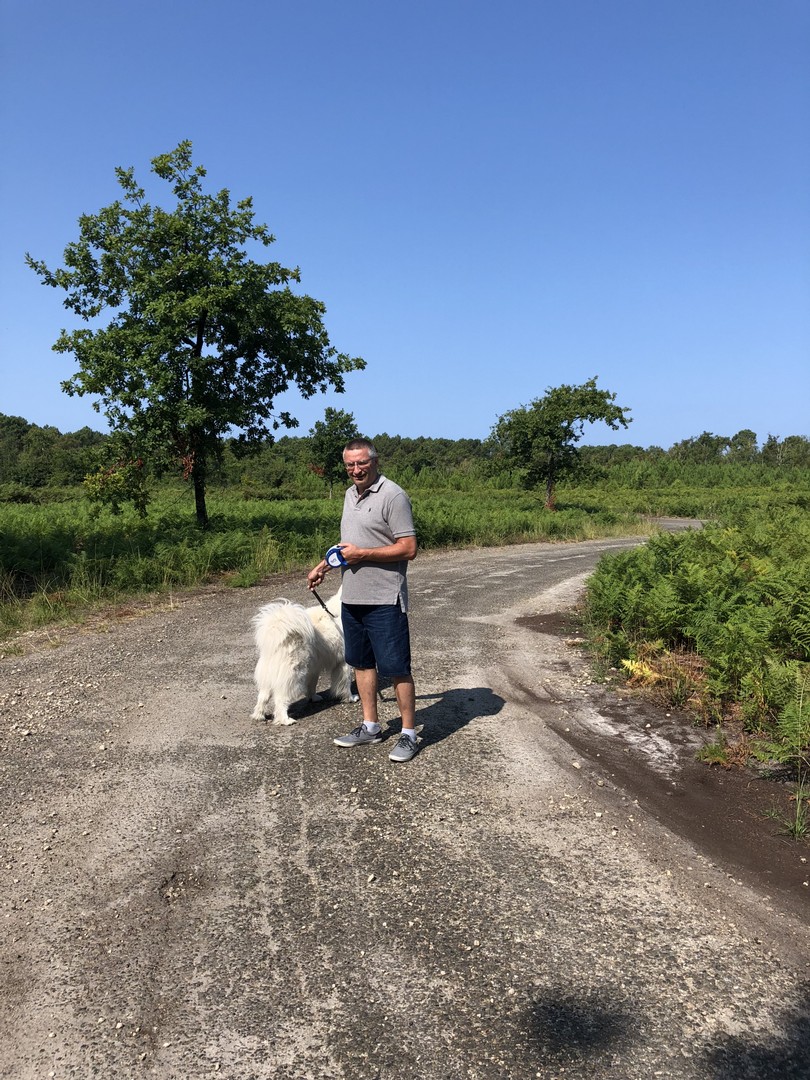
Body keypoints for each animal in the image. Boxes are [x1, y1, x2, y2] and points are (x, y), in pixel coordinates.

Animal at [251, 587, 354, 724]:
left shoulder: (314, 668)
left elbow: (312, 685)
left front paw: (313, 698)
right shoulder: (343, 663)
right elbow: (345, 683)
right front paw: (350, 698)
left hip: (269, 678)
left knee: (262, 698)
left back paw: (258, 715)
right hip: (294, 677)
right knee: (280, 700)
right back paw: (285, 720)